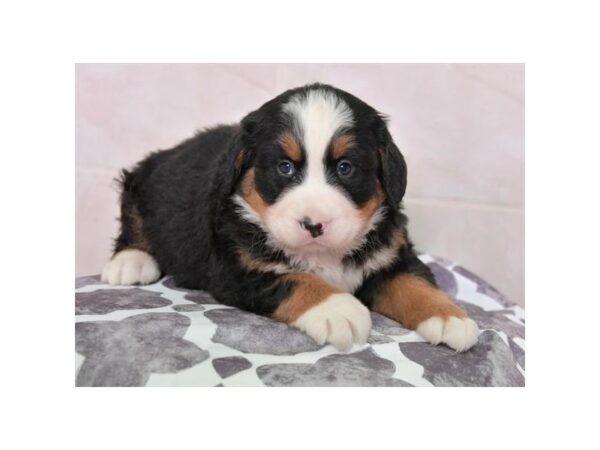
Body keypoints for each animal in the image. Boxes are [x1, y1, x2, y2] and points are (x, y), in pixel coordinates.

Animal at [102, 83, 478, 352]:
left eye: (346, 167)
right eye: (284, 167)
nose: (314, 224)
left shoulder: (391, 254)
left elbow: (414, 282)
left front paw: (449, 317)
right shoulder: (237, 268)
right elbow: (296, 279)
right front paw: (338, 309)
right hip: (143, 178)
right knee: (132, 211)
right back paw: (130, 261)